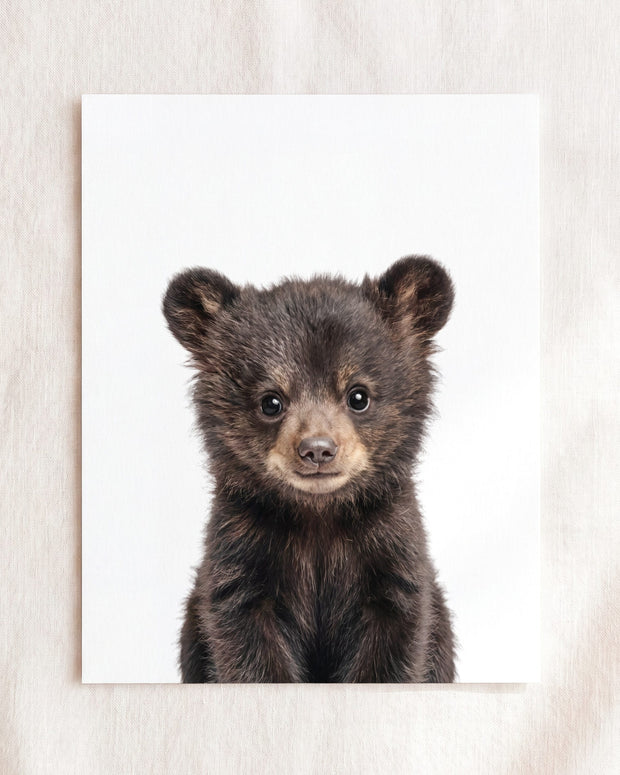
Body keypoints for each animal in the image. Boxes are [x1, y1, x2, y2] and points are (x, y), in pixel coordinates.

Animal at [163, 255, 456, 682]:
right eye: (271, 401)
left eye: (358, 396)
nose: (317, 450)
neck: (318, 516)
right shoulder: (241, 553)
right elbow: (248, 647)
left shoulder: (390, 552)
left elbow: (393, 647)